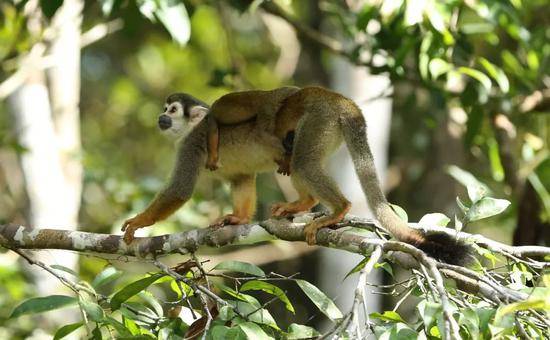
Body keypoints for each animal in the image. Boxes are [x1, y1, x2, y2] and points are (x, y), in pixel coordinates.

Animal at [123, 86, 472, 264]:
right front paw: (238, 218)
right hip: (328, 133)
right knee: (299, 157)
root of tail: (345, 103)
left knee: (302, 159)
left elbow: (180, 191)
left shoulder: (191, 144)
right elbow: (241, 179)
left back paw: (339, 208)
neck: (193, 130)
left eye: (171, 111)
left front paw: (138, 222)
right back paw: (304, 203)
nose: (160, 118)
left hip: (320, 120)